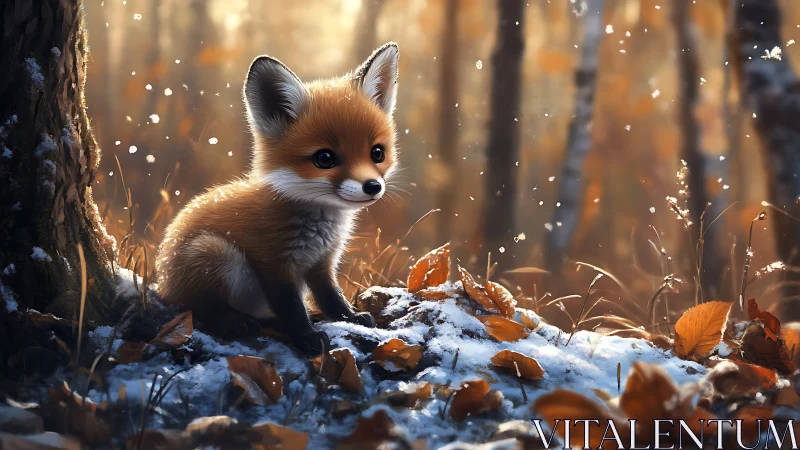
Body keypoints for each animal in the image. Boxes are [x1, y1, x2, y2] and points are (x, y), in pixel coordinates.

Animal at [155, 43, 400, 352]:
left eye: (377, 153)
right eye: (324, 159)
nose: (372, 186)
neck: (319, 229)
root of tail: (162, 281)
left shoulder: (322, 263)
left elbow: (331, 297)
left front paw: (350, 318)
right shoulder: (272, 262)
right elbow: (291, 306)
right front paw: (306, 336)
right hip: (213, 251)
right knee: (196, 310)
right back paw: (232, 322)